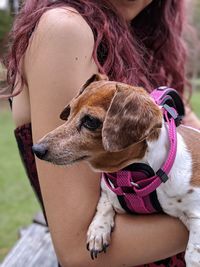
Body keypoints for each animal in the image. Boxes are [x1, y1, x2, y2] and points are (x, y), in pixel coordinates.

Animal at [32, 74, 200, 266]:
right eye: (70, 111)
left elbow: (193, 252)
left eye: (90, 121)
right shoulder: (106, 190)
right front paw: (98, 230)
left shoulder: (196, 212)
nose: (36, 149)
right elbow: (104, 204)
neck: (131, 173)